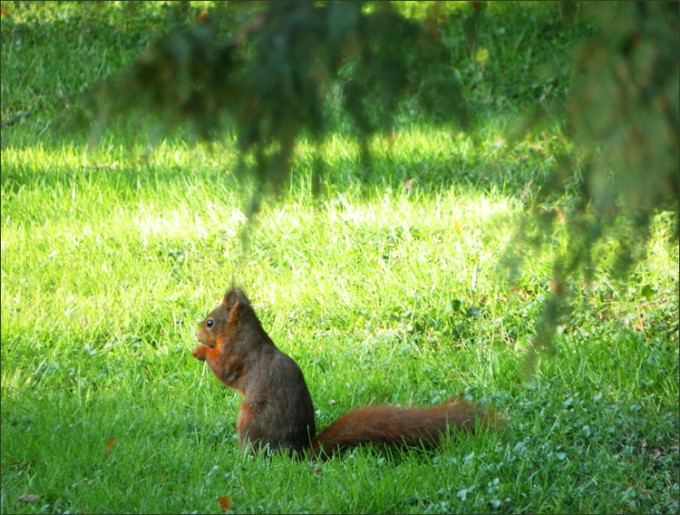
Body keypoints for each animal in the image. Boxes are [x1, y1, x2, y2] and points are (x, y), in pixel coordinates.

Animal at [192, 287, 496, 457]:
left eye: (210, 323)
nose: (197, 334)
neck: (241, 330)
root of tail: (294, 452)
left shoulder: (238, 354)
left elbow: (224, 370)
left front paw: (199, 351)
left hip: (251, 418)